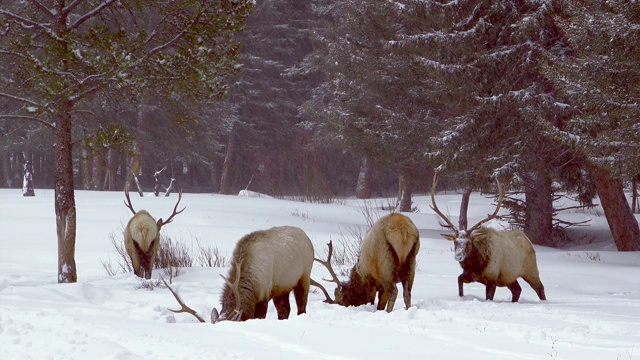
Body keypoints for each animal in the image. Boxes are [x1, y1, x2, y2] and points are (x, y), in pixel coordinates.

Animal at [430, 173, 544, 302]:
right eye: (455, 242)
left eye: (468, 243)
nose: (458, 255)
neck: (477, 265)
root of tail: (528, 240)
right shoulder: (470, 275)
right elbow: (459, 282)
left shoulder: (492, 278)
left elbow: (489, 297)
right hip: (509, 276)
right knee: (517, 289)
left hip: (531, 270)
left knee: (540, 288)